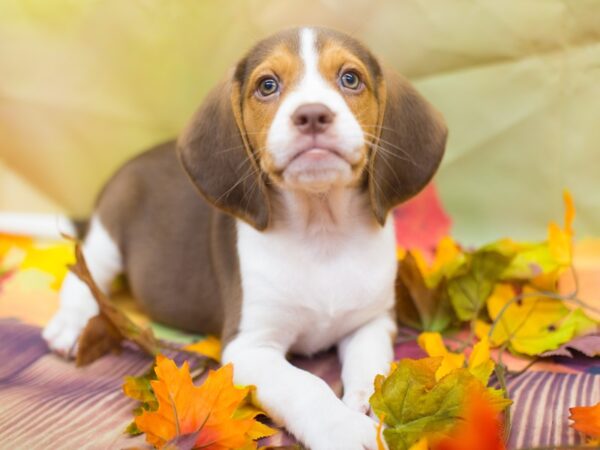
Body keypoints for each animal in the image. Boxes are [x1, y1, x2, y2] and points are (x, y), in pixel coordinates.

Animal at [42, 27, 446, 450]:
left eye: (350, 79)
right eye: (267, 85)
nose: (312, 115)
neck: (322, 233)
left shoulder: (371, 321)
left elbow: (372, 367)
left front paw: (367, 402)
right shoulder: (250, 346)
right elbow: (306, 386)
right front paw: (344, 429)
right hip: (110, 227)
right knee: (87, 270)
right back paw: (71, 322)